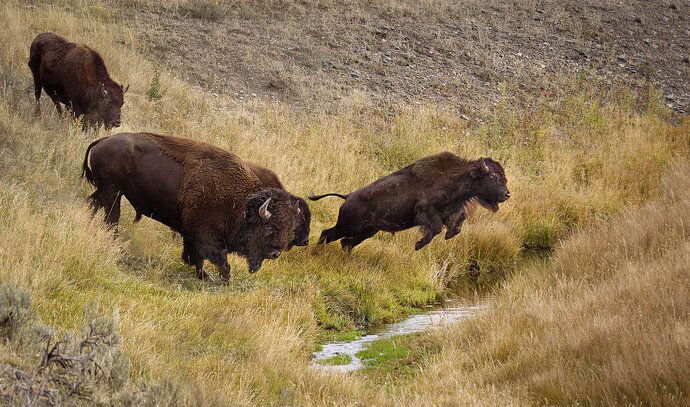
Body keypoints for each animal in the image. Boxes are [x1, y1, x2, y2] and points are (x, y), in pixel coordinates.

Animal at [82, 132, 305, 281]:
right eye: (269, 228)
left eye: (289, 228)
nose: (276, 253)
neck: (242, 204)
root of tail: (103, 141)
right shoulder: (204, 234)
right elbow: (214, 256)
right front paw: (220, 277)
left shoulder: (192, 234)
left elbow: (196, 255)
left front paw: (204, 275)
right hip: (113, 192)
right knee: (112, 219)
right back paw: (117, 248)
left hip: (107, 191)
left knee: (93, 204)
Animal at [309, 152, 510, 252]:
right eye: (493, 177)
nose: (507, 194)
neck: (457, 177)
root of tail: (348, 196)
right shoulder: (426, 210)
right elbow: (436, 228)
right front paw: (419, 245)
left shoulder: (450, 211)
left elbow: (458, 222)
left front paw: (448, 235)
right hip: (350, 226)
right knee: (328, 233)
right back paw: (316, 252)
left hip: (369, 230)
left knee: (346, 242)